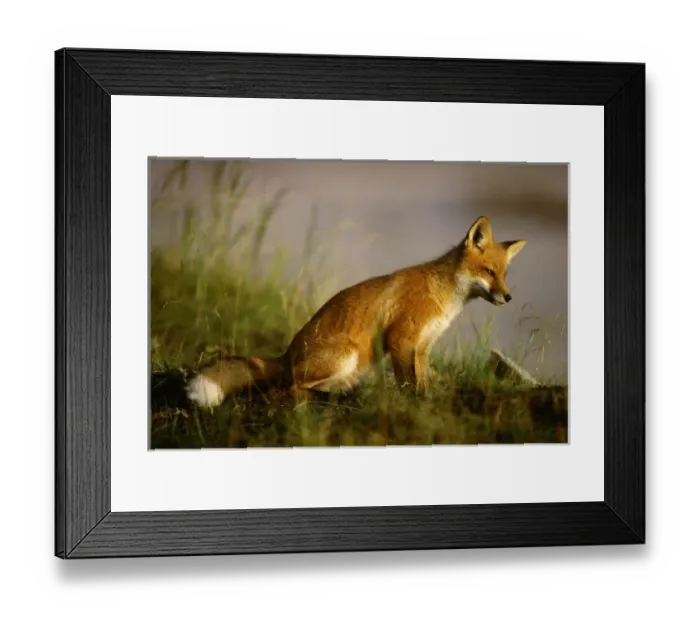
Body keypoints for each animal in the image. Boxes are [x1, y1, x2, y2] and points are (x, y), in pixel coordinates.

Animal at [185, 215, 526, 408]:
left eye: (505, 274)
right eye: (489, 272)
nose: (509, 297)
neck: (443, 294)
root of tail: (286, 354)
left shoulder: (421, 346)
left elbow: (422, 382)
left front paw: (427, 402)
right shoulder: (400, 339)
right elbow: (408, 384)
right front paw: (414, 407)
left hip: (355, 366)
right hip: (347, 355)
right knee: (291, 389)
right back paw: (324, 399)